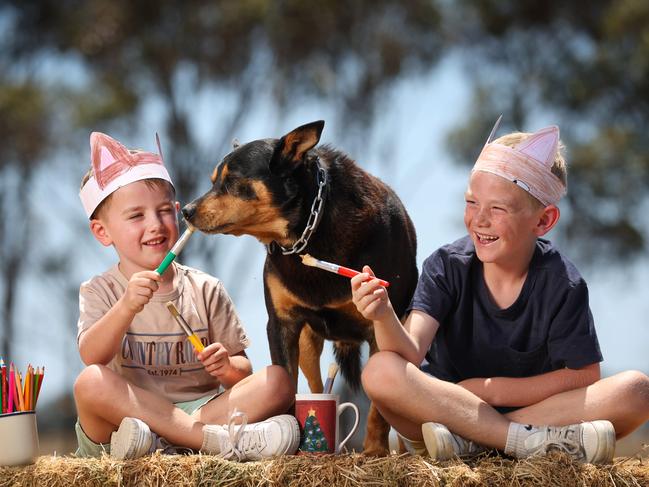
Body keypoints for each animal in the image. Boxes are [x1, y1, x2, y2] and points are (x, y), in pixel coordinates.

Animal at [181, 122, 416, 458]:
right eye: (214, 180)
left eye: (232, 179)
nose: (186, 210)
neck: (307, 232)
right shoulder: (282, 324)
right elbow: (287, 387)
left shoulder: (382, 324)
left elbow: (378, 407)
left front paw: (374, 451)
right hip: (307, 344)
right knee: (317, 387)